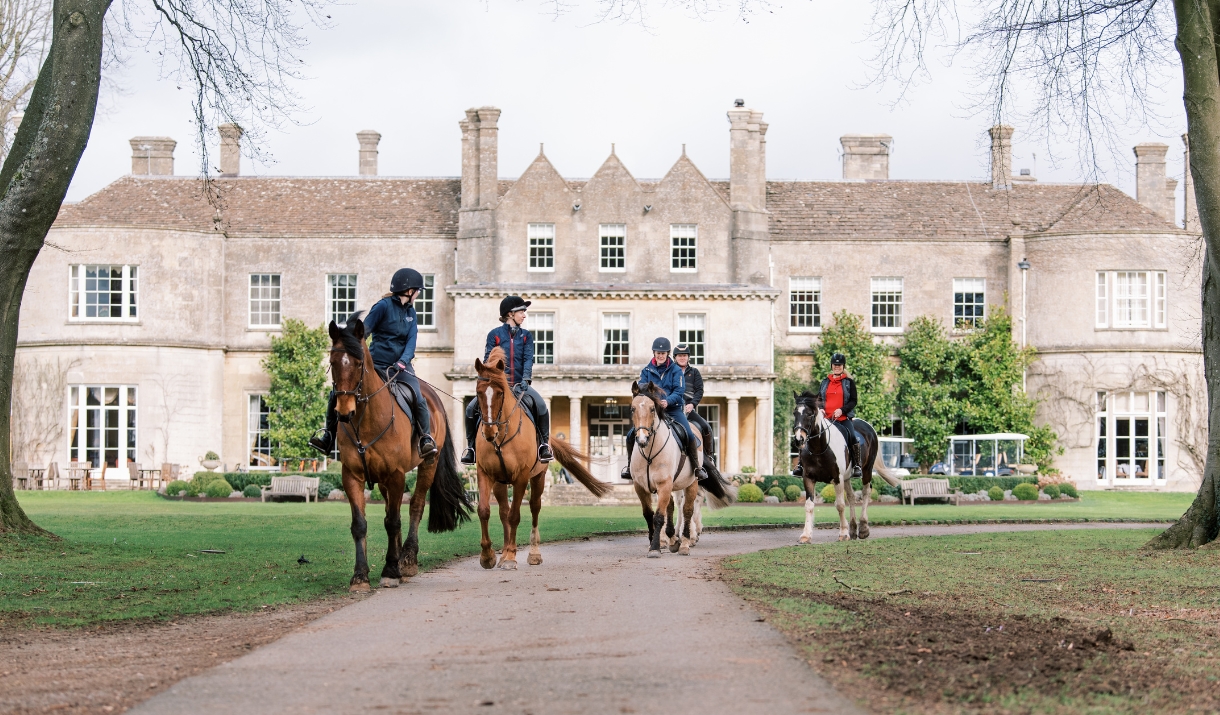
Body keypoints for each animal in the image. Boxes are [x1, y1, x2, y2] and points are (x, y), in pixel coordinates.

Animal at [329, 314, 470, 588]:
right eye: (332, 362)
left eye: (359, 363)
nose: (344, 412)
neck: (365, 421)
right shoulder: (352, 475)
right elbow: (360, 524)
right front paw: (360, 575)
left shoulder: (396, 475)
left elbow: (393, 521)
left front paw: (391, 570)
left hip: (427, 465)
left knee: (415, 506)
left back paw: (407, 559)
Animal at [473, 344, 614, 568]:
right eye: (478, 393)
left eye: (500, 393)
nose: (489, 433)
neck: (502, 437)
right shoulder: (485, 473)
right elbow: (485, 510)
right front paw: (488, 556)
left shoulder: (522, 477)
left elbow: (515, 515)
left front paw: (511, 556)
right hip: (500, 483)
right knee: (503, 511)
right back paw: (503, 553)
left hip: (538, 478)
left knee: (534, 508)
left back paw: (533, 553)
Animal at [629, 380, 732, 553]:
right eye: (632, 408)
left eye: (652, 408)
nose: (642, 439)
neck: (650, 453)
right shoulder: (641, 486)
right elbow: (650, 514)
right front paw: (659, 540)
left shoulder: (665, 484)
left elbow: (660, 515)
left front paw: (657, 546)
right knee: (676, 505)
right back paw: (674, 537)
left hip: (692, 481)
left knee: (688, 507)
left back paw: (686, 539)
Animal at [785, 390, 902, 539]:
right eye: (795, 412)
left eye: (810, 414)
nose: (799, 439)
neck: (820, 448)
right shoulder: (808, 478)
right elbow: (809, 505)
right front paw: (806, 535)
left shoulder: (837, 478)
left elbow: (840, 505)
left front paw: (843, 533)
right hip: (846, 477)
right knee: (852, 497)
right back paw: (852, 528)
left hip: (866, 471)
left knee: (866, 492)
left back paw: (863, 528)